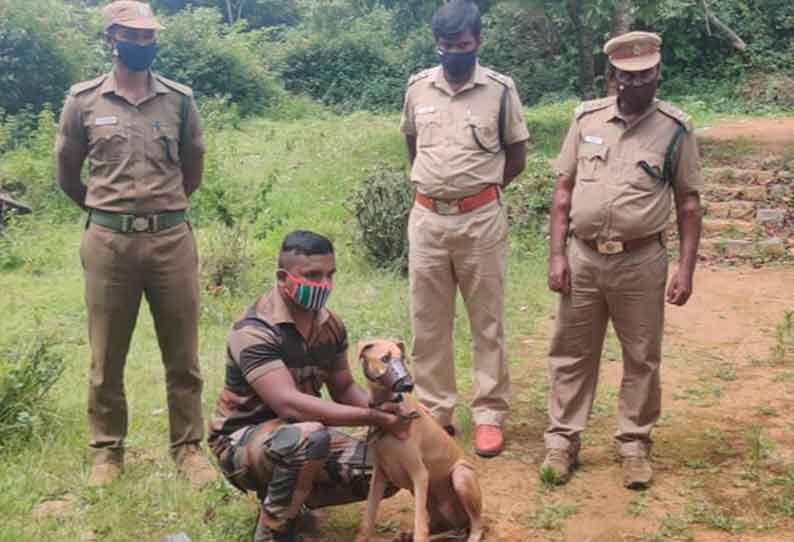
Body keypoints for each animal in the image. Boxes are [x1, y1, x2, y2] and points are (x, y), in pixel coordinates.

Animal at [354, 340, 482, 542]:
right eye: (385, 358)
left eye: (402, 358)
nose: (408, 384)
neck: (390, 409)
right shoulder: (378, 476)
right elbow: (368, 518)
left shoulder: (420, 474)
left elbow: (420, 526)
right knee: (441, 527)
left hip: (461, 475)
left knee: (475, 525)